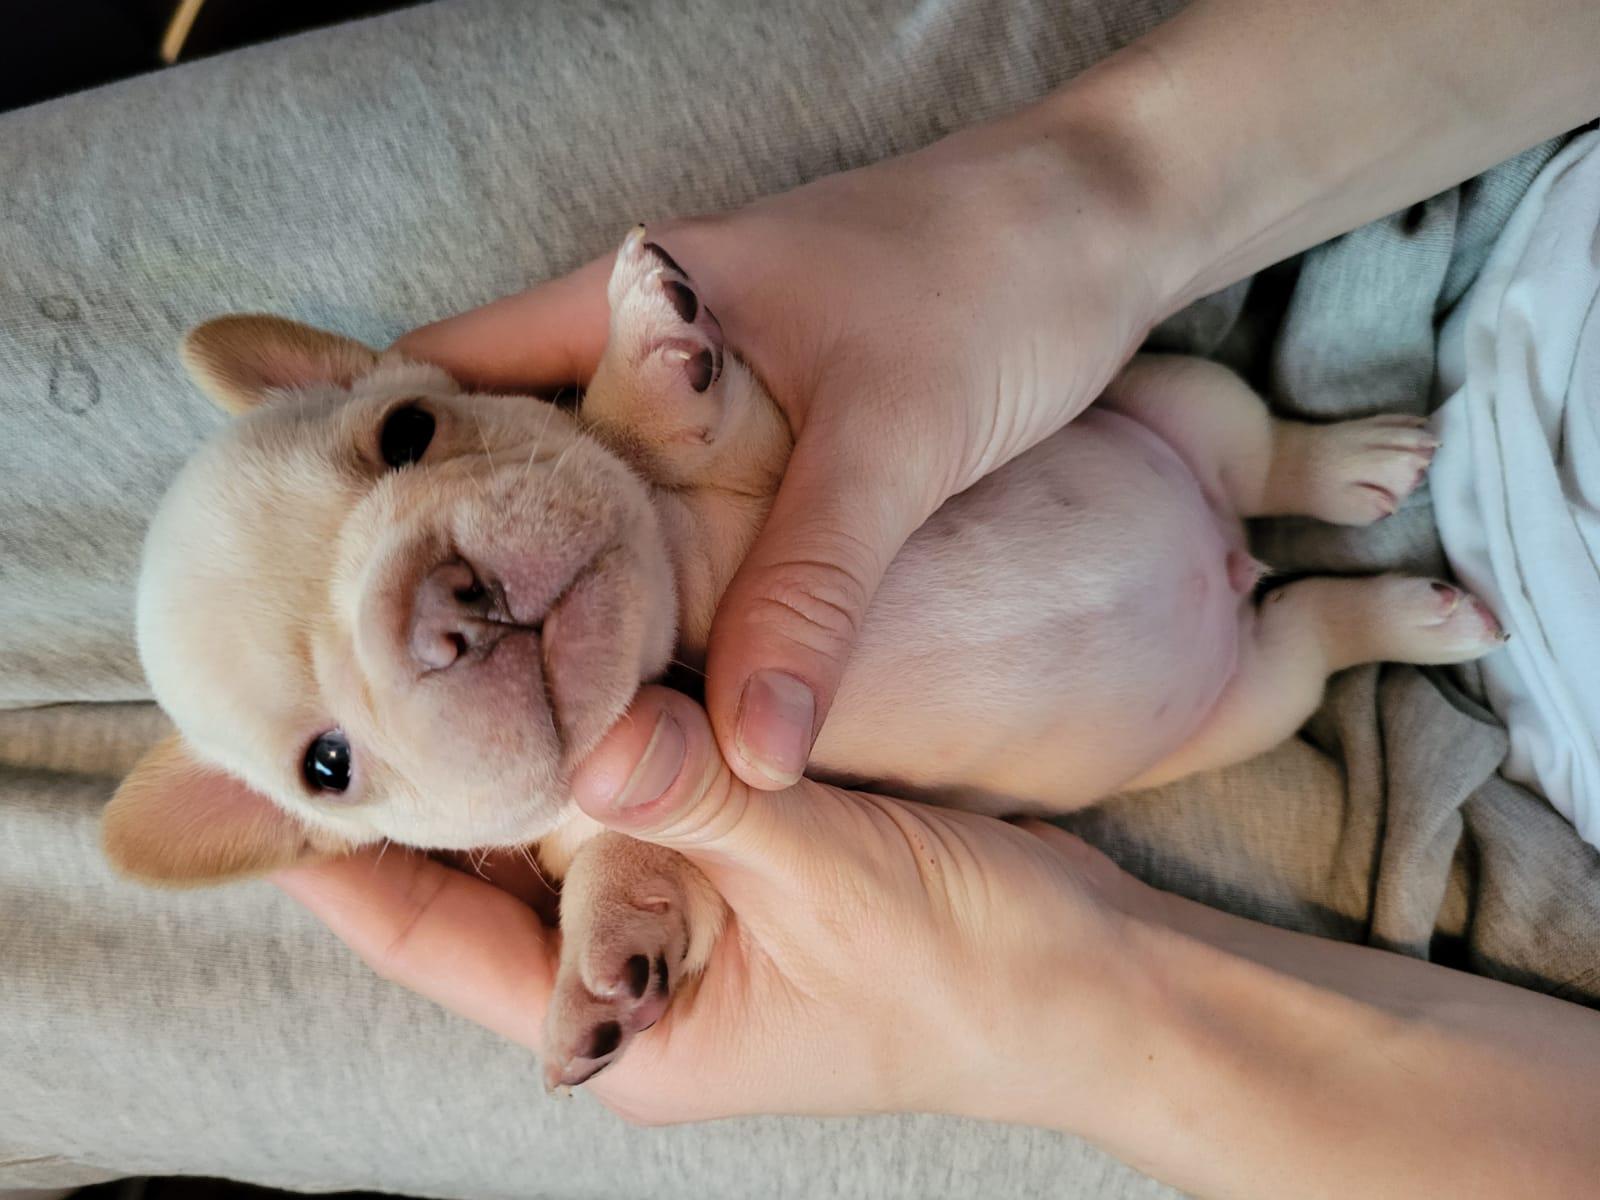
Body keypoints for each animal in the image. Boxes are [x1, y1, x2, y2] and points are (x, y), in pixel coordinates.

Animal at [104, 226, 1504, 1088]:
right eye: (327, 767)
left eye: (407, 428)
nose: (437, 609)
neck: (673, 628)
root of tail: (1220, 555)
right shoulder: (696, 861)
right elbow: (639, 865)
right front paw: (598, 966)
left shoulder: (777, 448)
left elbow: (651, 425)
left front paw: (646, 334)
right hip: (1246, 698)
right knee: (1304, 631)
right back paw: (1395, 595)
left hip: (1172, 399)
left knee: (1266, 458)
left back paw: (1358, 475)